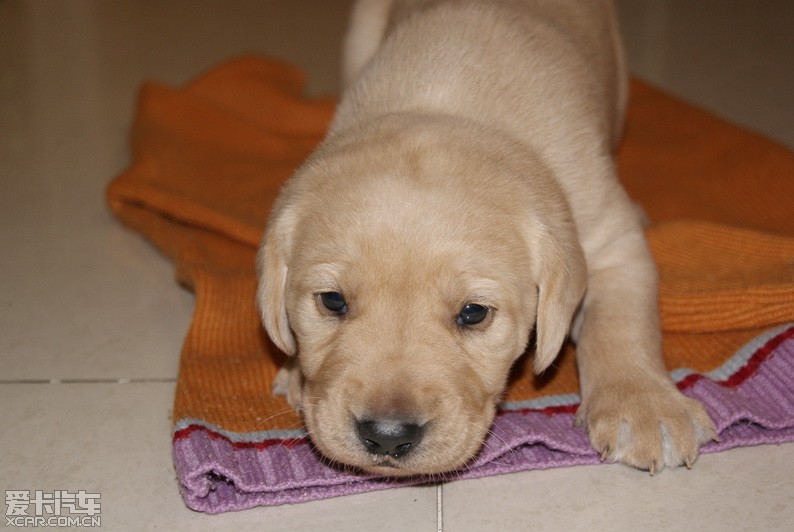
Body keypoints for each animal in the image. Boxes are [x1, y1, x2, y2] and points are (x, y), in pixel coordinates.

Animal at [256, 0, 716, 476]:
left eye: (474, 313)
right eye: (332, 301)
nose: (387, 436)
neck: (450, 101)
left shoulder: (613, 242)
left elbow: (622, 322)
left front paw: (644, 404)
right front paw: (294, 368)